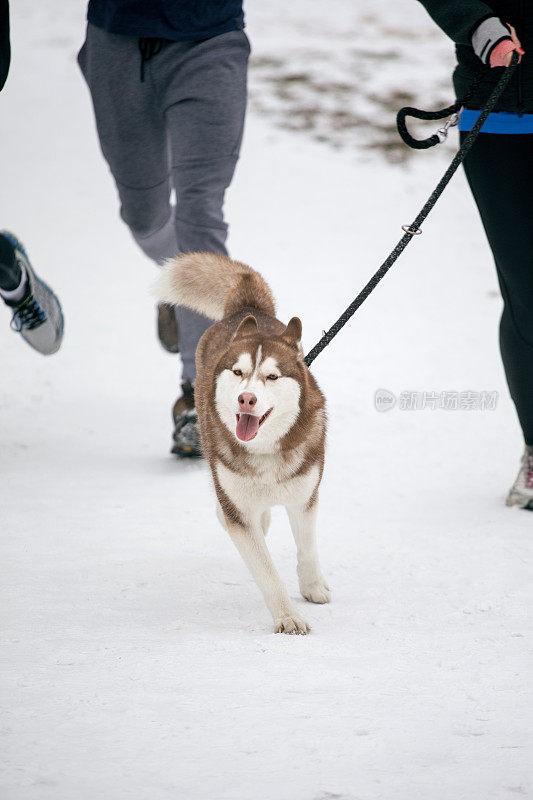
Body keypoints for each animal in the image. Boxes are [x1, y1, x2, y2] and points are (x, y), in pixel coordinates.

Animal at [156, 253, 328, 636]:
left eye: (272, 376)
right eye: (237, 372)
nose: (246, 399)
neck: (265, 451)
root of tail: (247, 307)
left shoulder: (305, 495)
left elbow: (309, 546)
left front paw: (313, 587)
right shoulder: (239, 512)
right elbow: (265, 569)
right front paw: (288, 617)